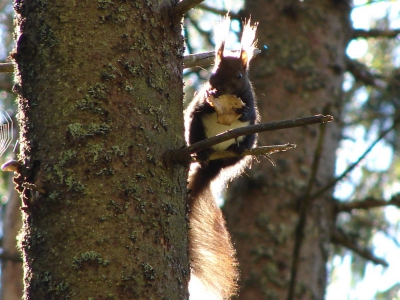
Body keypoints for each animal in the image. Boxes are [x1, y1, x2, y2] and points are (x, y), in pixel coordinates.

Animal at [185, 17, 260, 300]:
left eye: (239, 75)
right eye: (214, 70)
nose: (218, 86)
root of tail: (214, 164)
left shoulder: (252, 106)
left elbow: (250, 111)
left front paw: (243, 111)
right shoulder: (200, 103)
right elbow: (202, 105)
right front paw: (210, 100)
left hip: (249, 140)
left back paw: (235, 150)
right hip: (195, 130)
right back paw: (202, 152)